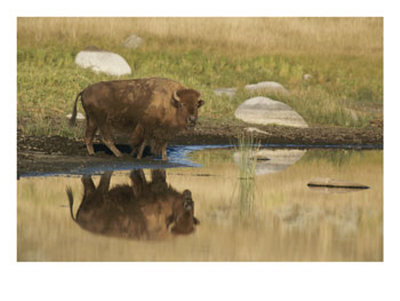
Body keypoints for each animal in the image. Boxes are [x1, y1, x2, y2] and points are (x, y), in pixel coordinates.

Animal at [67, 169, 202, 239]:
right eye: (190, 206)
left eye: (188, 208)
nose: (188, 195)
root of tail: (79, 222)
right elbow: (157, 176)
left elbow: (140, 180)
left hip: (97, 197)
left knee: (95, 184)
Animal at [69, 77, 205, 159]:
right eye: (182, 104)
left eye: (196, 105)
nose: (192, 119)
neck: (169, 101)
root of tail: (84, 91)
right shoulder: (146, 126)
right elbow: (143, 142)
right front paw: (138, 156)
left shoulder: (164, 130)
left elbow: (163, 144)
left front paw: (165, 159)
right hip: (101, 120)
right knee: (106, 138)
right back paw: (119, 155)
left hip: (92, 120)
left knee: (89, 136)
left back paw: (93, 153)